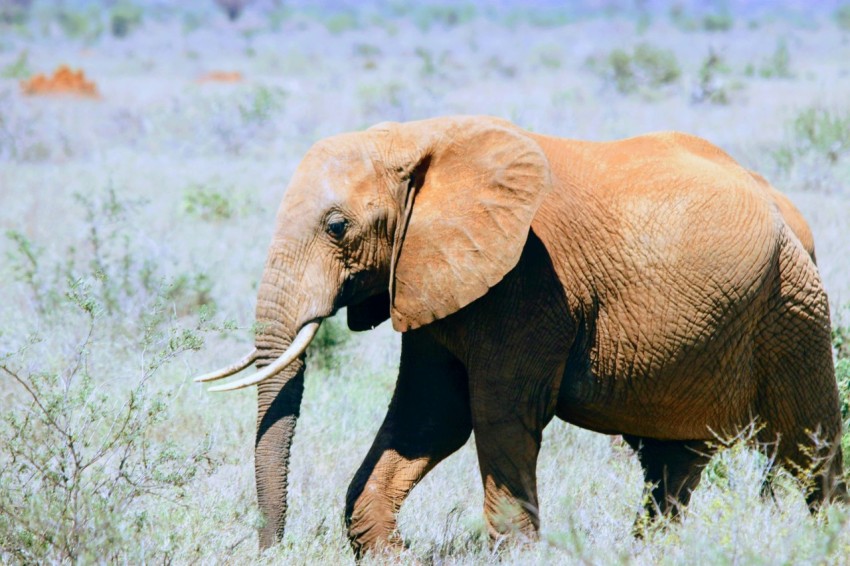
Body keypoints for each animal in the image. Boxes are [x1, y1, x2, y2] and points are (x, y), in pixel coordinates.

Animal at [192, 115, 846, 556]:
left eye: (336, 227)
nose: (272, 550)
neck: (416, 137)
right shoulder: (432, 278)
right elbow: (430, 418)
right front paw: (392, 555)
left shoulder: (528, 282)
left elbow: (499, 414)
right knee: (673, 460)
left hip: (793, 308)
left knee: (810, 447)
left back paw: (827, 537)